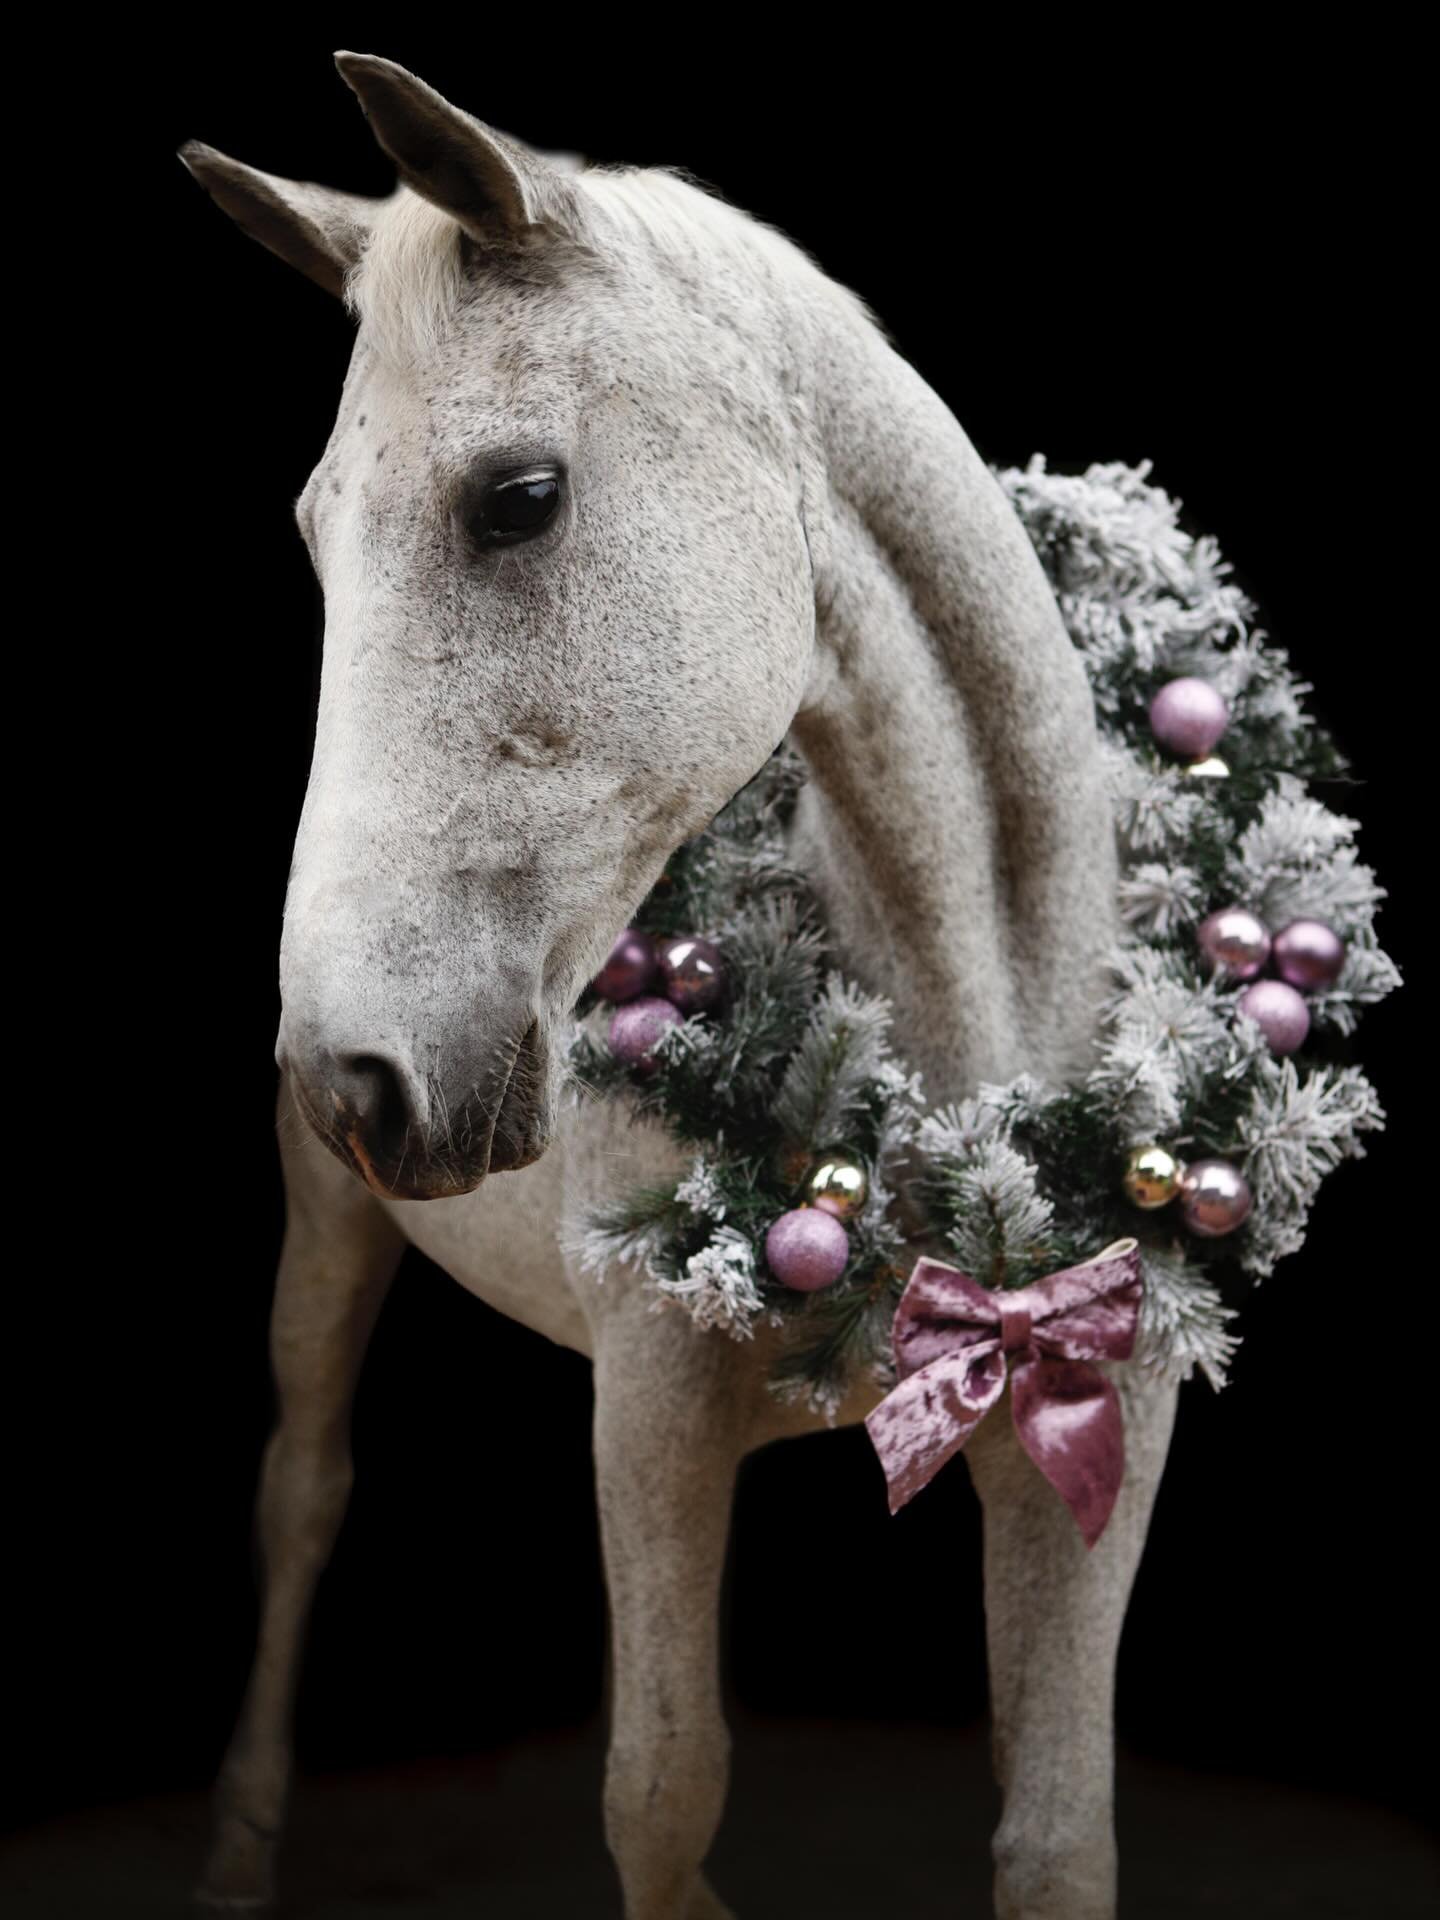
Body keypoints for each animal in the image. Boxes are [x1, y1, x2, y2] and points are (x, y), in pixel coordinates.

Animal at [179, 51, 1180, 1920]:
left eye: (517, 497)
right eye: (311, 535)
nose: (354, 1072)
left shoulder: (1111, 1415)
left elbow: (1057, 1831)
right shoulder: (646, 1401)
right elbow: (660, 1793)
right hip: (330, 1230)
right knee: (300, 1495)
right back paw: (240, 1842)